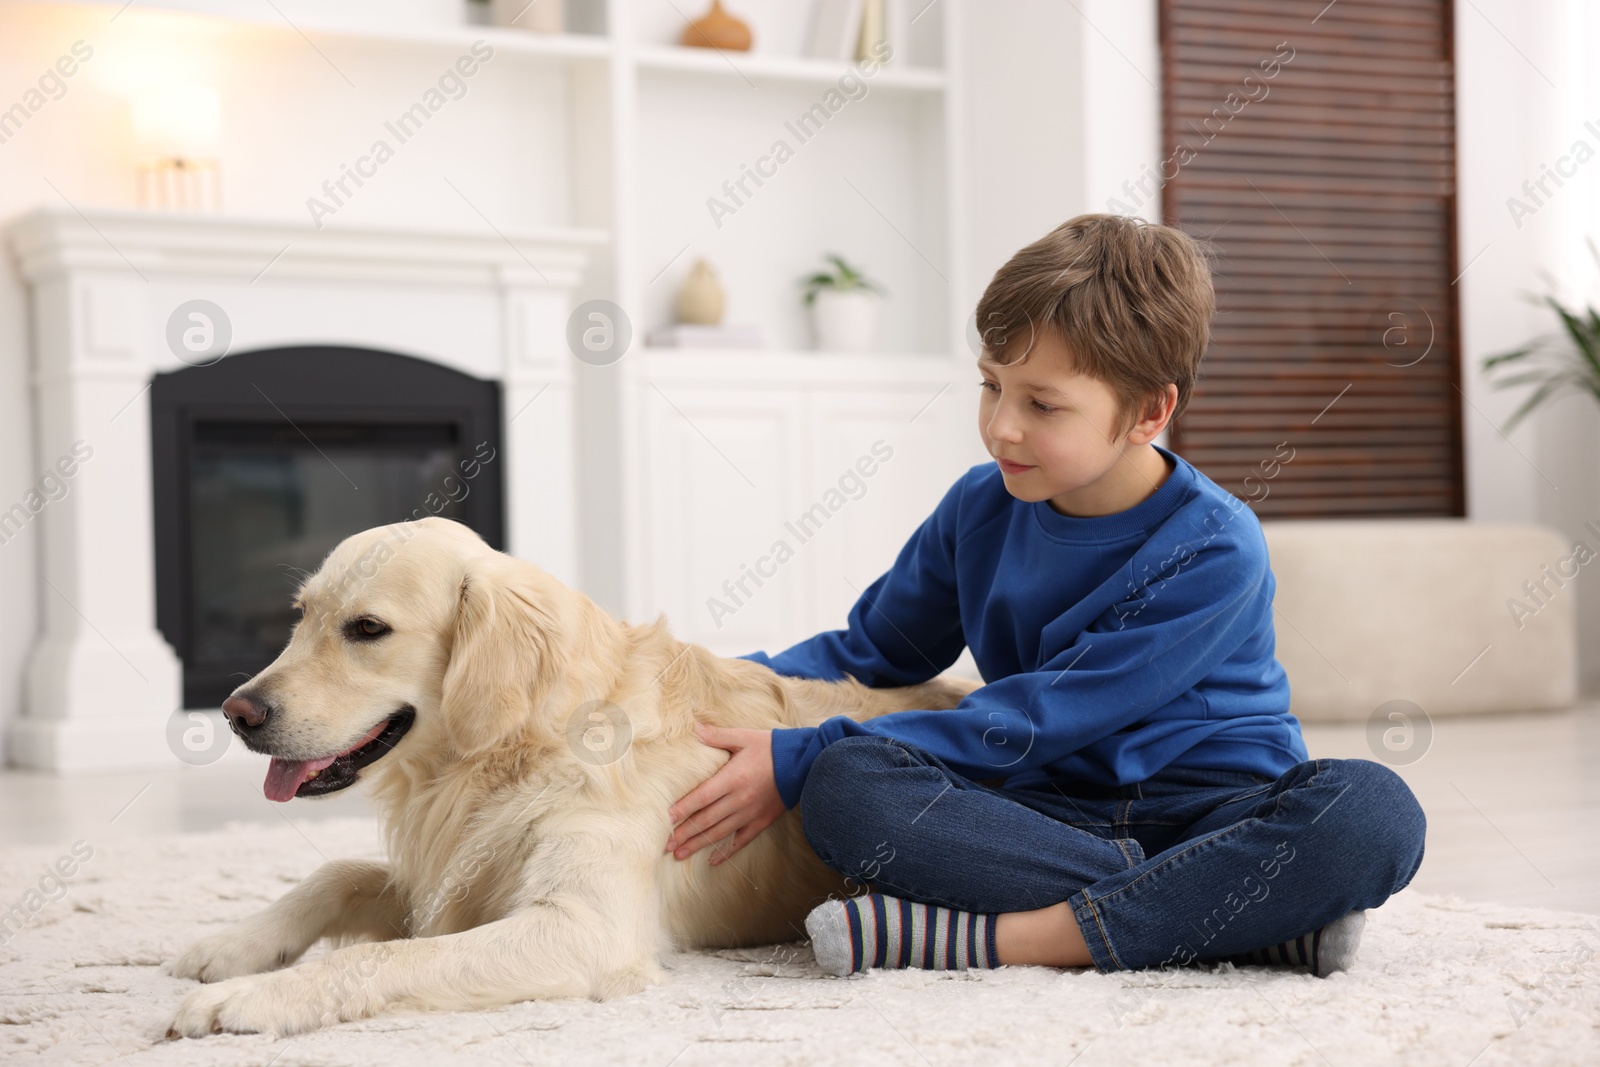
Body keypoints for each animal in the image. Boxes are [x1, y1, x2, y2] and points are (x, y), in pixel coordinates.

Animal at [168, 515, 979, 1036]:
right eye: (301, 615)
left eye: (367, 629)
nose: (236, 711)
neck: (510, 750)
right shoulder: (449, 872)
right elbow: (336, 872)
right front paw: (232, 949)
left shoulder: (583, 926)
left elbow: (389, 954)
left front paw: (249, 999)